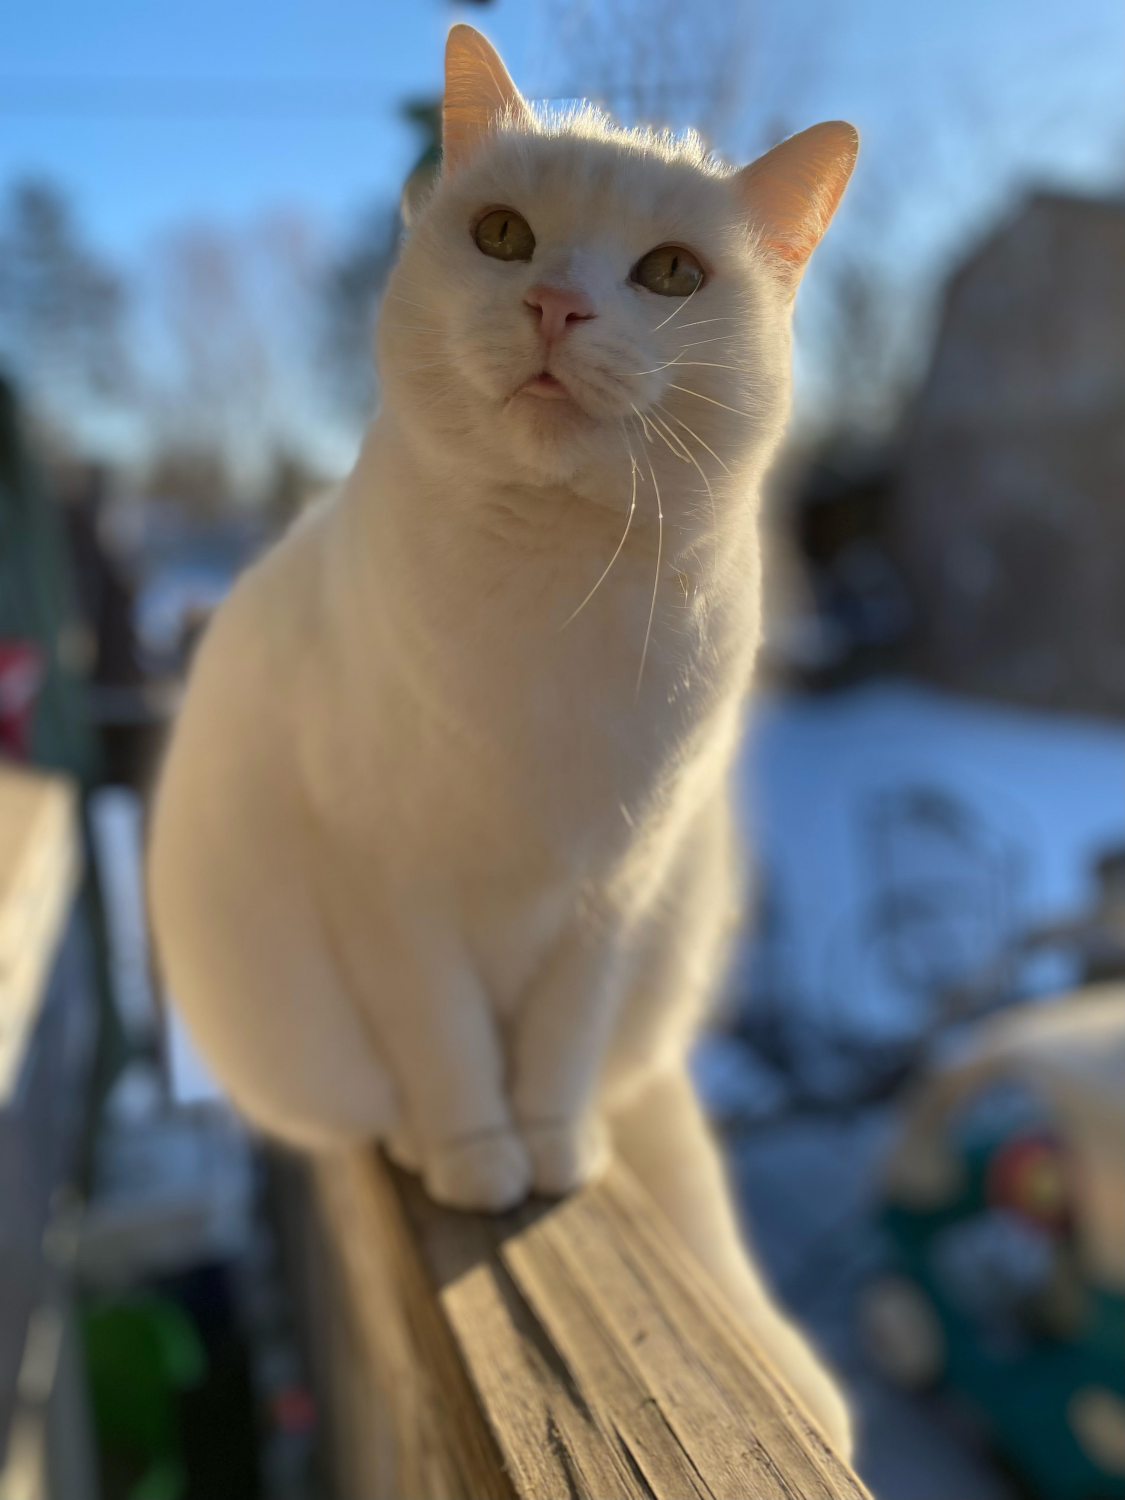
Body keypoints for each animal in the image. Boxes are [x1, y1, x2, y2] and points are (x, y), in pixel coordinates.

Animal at [147, 23, 852, 1452]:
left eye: (671, 272)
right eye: (506, 237)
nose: (556, 308)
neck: (550, 591)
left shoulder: (616, 891)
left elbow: (559, 1047)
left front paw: (549, 1150)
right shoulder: (390, 889)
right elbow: (450, 1043)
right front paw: (480, 1159)